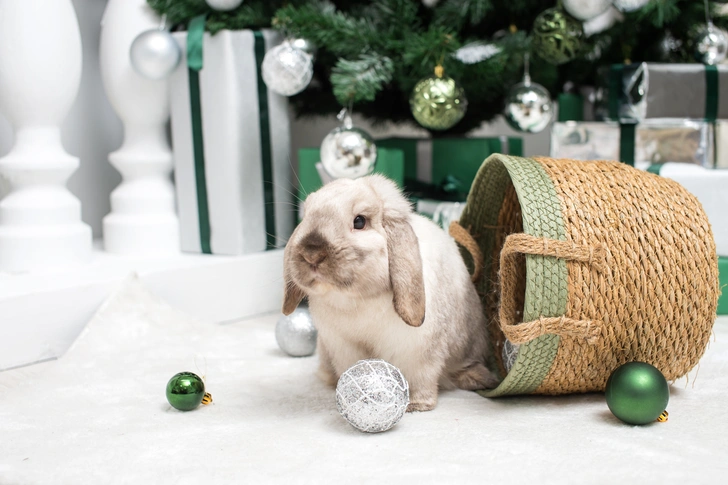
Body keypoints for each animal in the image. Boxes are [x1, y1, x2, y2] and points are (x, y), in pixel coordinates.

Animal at [282, 174, 498, 408]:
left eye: (359, 221)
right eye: (307, 217)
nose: (311, 253)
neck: (355, 300)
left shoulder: (418, 353)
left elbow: (421, 378)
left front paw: (416, 405)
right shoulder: (343, 348)